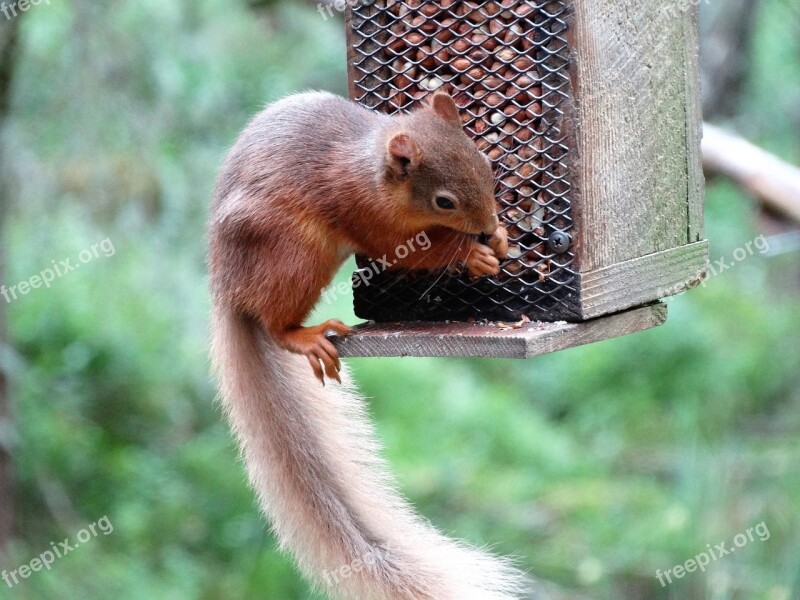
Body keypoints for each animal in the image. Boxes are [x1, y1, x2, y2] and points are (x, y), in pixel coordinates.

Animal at [209, 90, 528, 600]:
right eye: (444, 201)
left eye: (485, 163)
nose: (486, 225)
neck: (374, 175)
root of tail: (228, 292)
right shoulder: (366, 214)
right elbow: (410, 249)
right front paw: (470, 253)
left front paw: (496, 238)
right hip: (294, 254)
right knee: (276, 324)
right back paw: (302, 336)